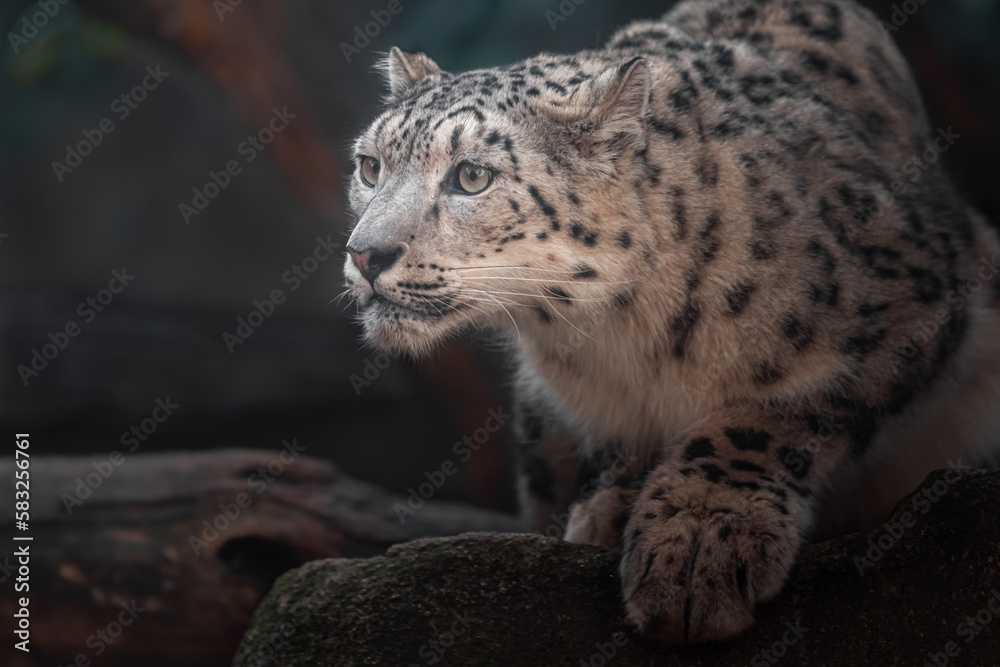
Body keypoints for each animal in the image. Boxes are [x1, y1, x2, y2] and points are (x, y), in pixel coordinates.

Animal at [342, 0, 1000, 644]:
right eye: (370, 167)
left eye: (473, 176)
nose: (365, 254)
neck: (630, 338)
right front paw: (613, 511)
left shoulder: (914, 304)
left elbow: (770, 416)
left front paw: (700, 539)